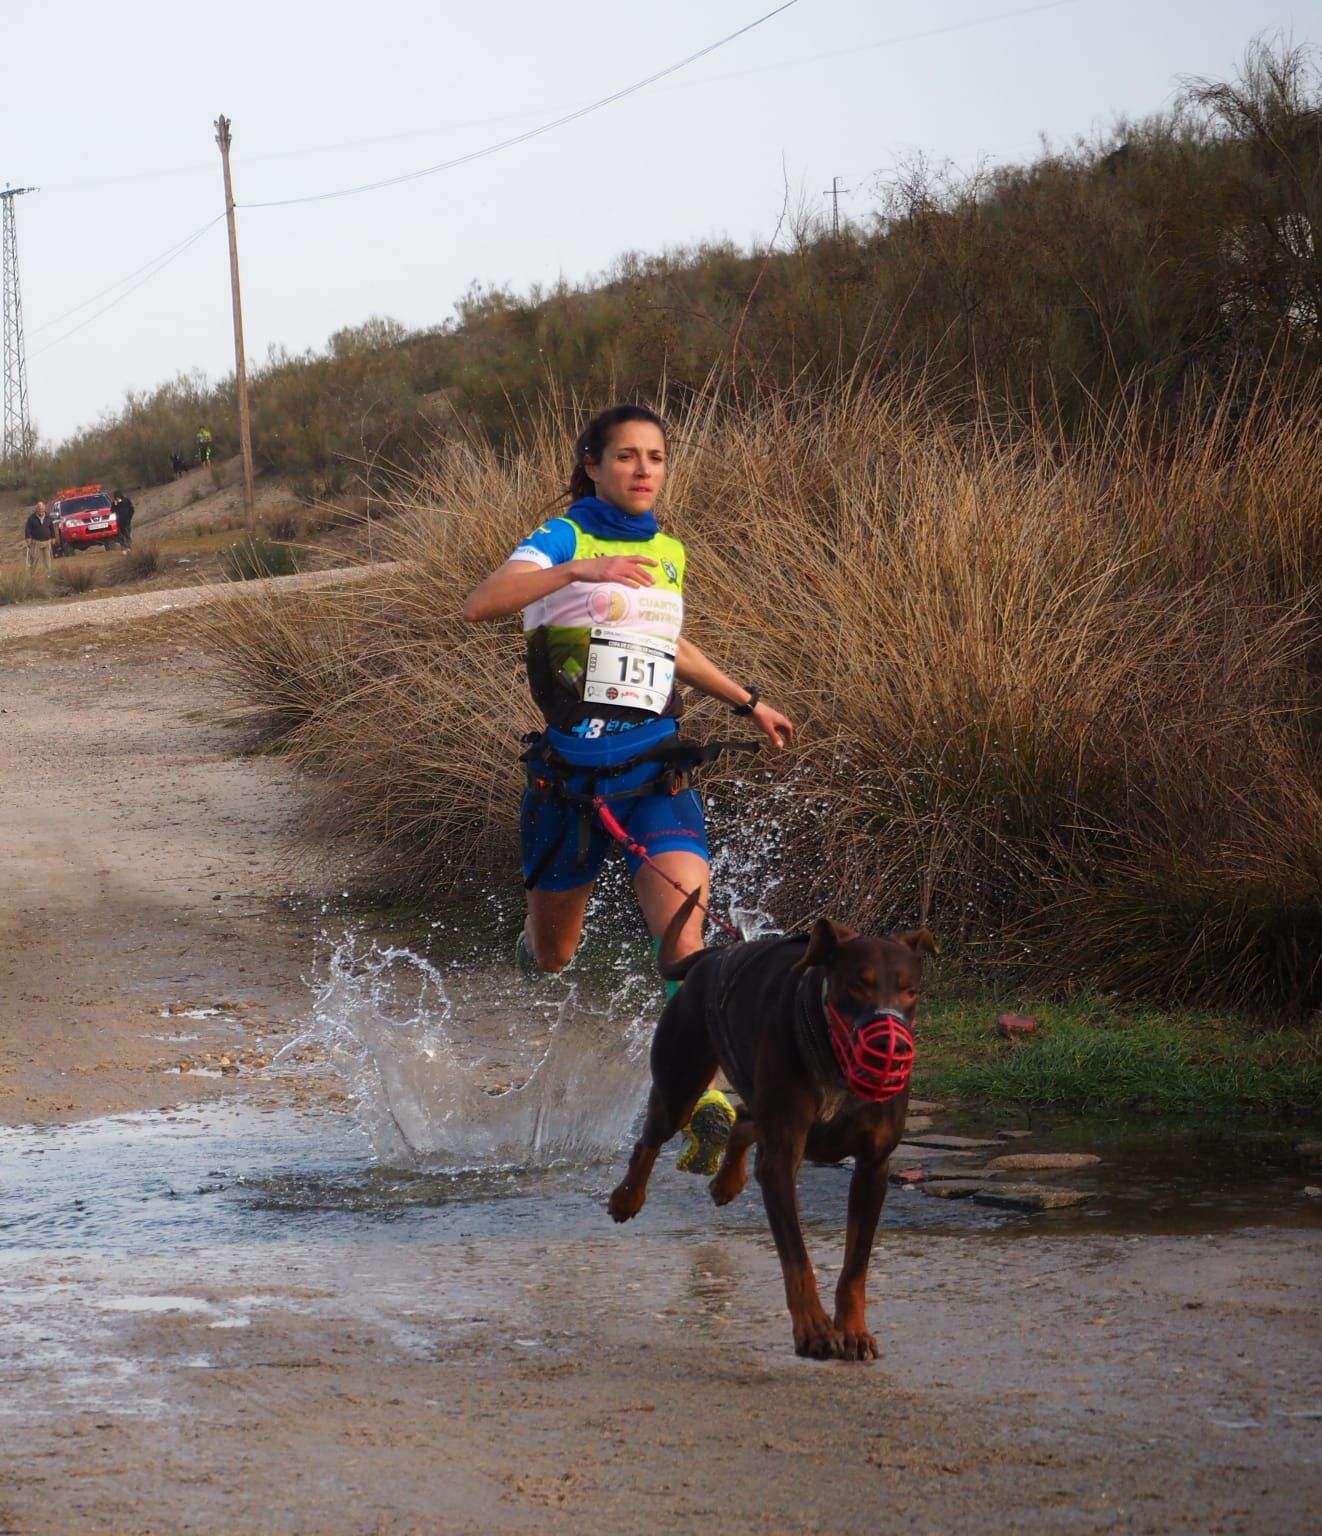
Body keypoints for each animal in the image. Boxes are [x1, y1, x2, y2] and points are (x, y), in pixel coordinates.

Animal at [611, 897, 939, 1363]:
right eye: (858, 985)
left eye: (911, 991)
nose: (890, 1046)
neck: (835, 1063)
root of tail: (712, 956)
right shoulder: (784, 1156)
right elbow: (797, 1257)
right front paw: (815, 1330)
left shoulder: (874, 1166)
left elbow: (856, 1263)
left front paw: (854, 1330)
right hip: (679, 1081)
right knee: (651, 1138)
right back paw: (627, 1197)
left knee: (745, 1120)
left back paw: (727, 1180)